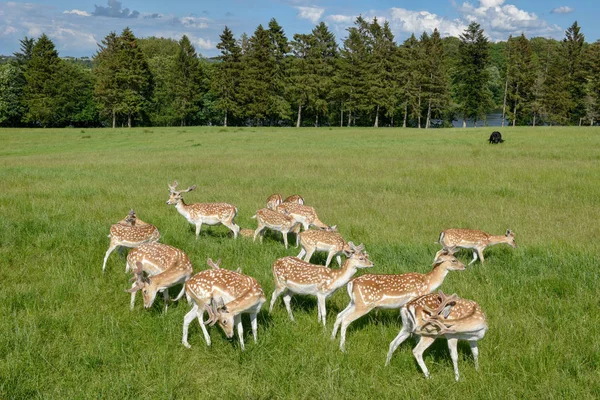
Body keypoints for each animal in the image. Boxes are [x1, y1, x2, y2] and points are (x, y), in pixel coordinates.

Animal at [330, 252, 466, 352]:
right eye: (454, 260)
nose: (464, 266)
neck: (428, 282)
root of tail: (351, 282)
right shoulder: (416, 299)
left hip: (354, 302)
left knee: (340, 315)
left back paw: (332, 338)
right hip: (364, 304)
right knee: (346, 319)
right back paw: (342, 348)